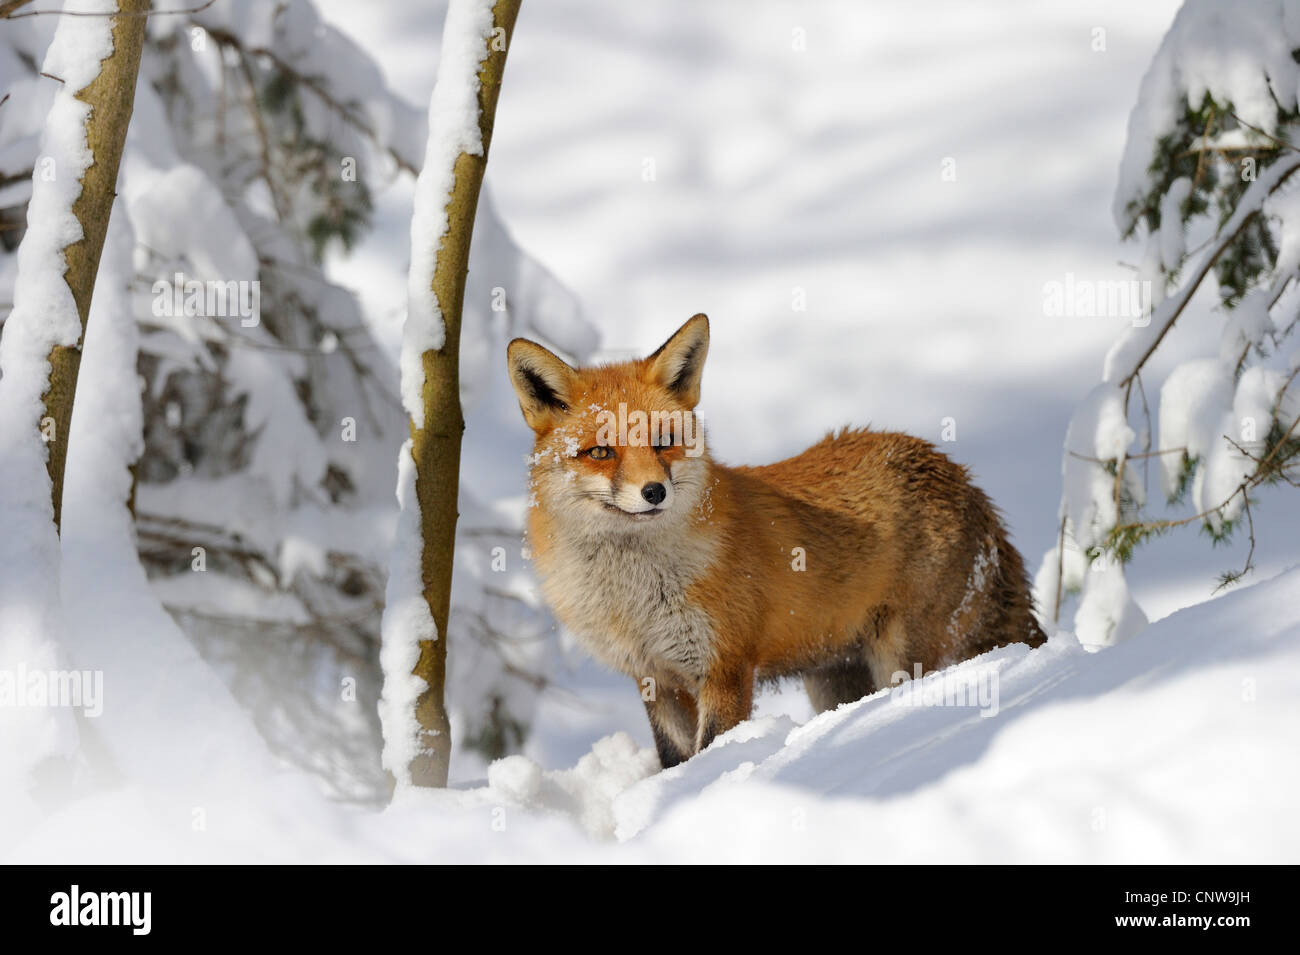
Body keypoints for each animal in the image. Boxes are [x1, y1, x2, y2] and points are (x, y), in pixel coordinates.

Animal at [506, 315, 1045, 769]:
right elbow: (674, 760)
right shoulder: (655, 678)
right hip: (835, 678)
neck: (633, 594)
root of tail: (964, 480)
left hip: (901, 656)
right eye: (600, 452)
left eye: (663, 443)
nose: (654, 491)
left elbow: (710, 750)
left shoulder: (724, 668)